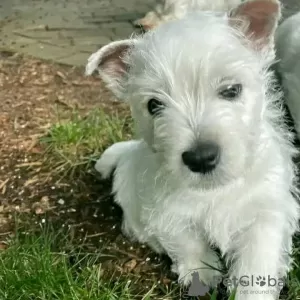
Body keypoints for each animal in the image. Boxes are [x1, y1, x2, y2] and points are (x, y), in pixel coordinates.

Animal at [85, 1, 298, 298]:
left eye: (231, 90)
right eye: (154, 105)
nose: (200, 158)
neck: (215, 189)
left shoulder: (267, 211)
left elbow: (257, 262)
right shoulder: (166, 211)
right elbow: (187, 241)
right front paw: (201, 274)